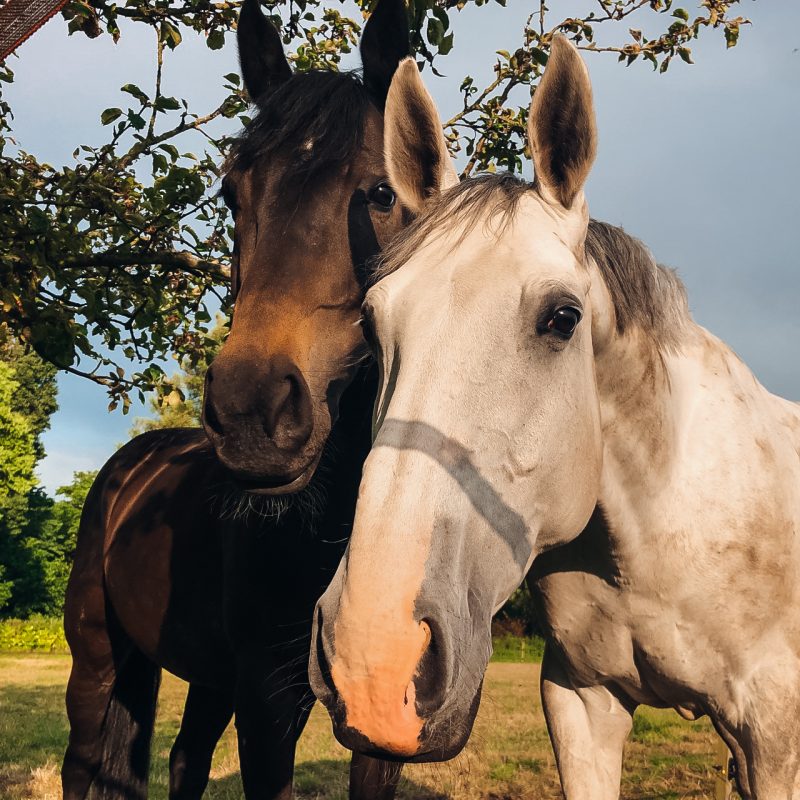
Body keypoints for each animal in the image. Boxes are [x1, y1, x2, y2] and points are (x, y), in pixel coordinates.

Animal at [61, 1, 410, 800]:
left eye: (382, 194)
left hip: (204, 677)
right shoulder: (267, 705)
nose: (253, 413)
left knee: (184, 760)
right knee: (82, 765)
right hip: (98, 658)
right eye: (229, 193)